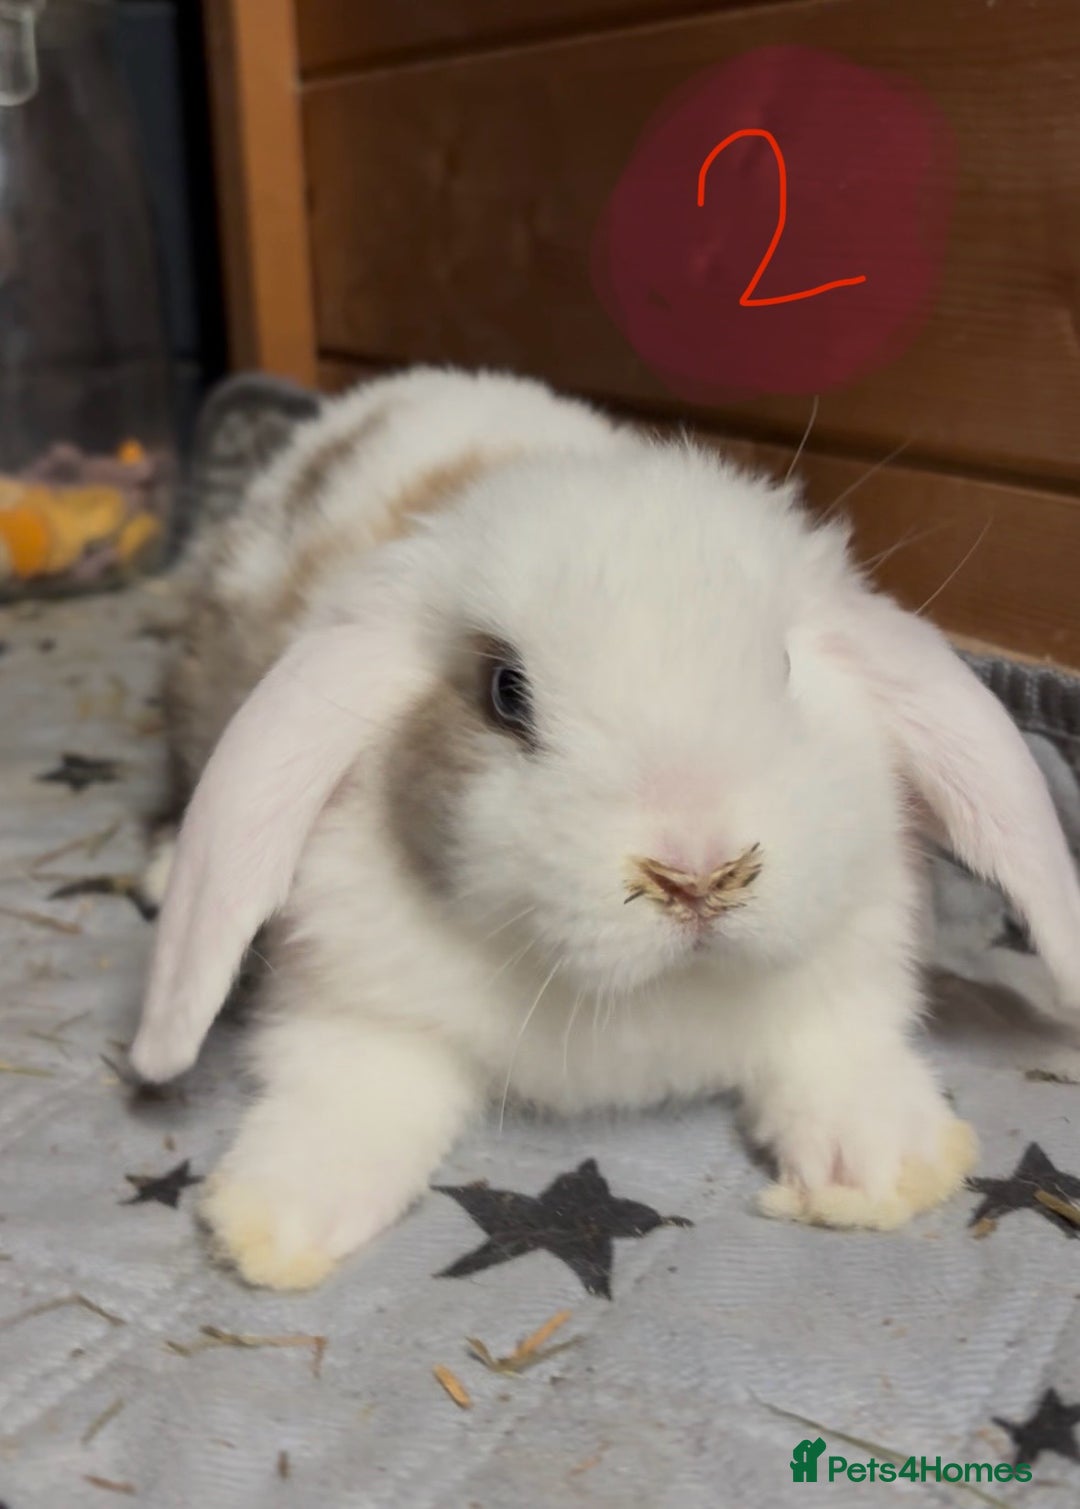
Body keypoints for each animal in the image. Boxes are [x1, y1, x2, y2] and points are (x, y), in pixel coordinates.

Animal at [130, 365, 1080, 1291]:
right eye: (505, 693)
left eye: (780, 665)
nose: (698, 873)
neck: (646, 993)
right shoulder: (358, 1001)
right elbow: (355, 1087)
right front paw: (277, 1217)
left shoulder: (841, 979)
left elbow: (836, 1047)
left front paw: (881, 1164)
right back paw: (165, 871)